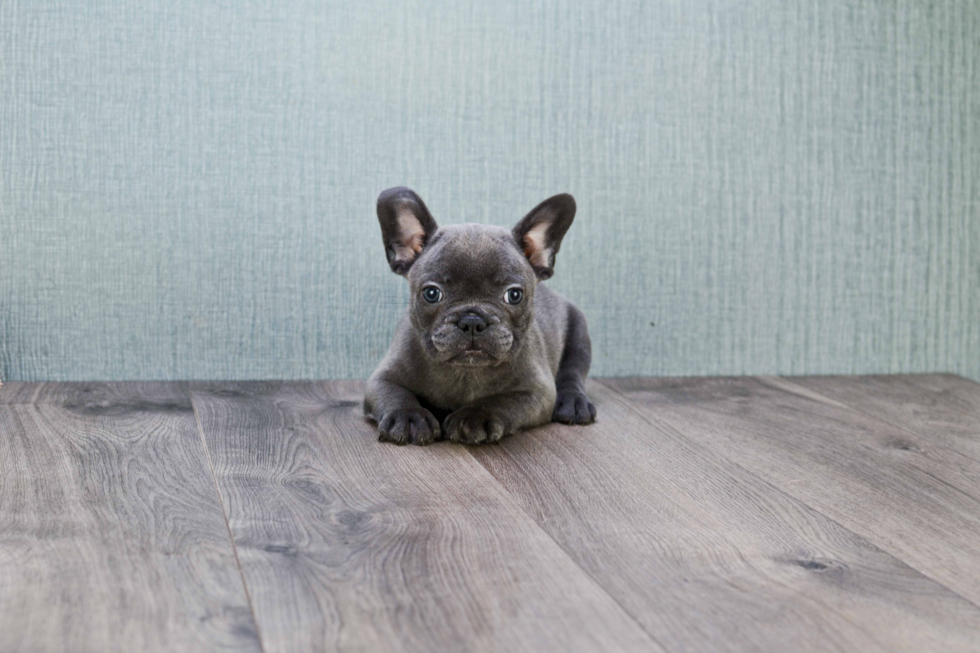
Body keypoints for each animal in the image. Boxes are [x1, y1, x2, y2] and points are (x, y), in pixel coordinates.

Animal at [366, 186, 596, 446]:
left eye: (514, 295)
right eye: (432, 293)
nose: (472, 321)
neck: (466, 371)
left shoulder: (538, 391)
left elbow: (502, 401)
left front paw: (474, 416)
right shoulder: (382, 377)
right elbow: (394, 392)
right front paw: (408, 416)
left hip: (578, 332)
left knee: (573, 372)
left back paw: (574, 402)